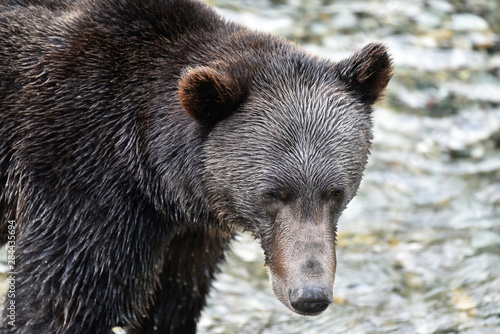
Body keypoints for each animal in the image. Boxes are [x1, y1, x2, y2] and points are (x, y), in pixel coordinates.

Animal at [0, 0, 390, 332]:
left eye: (335, 192)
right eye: (273, 193)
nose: (310, 295)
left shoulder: (190, 236)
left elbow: (173, 301)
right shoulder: (78, 174)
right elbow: (61, 300)